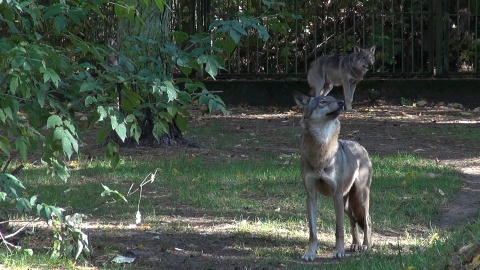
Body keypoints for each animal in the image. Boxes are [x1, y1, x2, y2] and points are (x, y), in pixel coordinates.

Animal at [292, 91, 376, 262]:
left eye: (334, 98)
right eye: (323, 102)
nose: (342, 102)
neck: (321, 153)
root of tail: (360, 146)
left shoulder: (336, 195)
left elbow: (339, 229)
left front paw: (339, 251)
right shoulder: (311, 196)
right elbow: (313, 232)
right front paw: (310, 253)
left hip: (359, 197)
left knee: (367, 220)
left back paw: (366, 245)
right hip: (346, 203)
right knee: (353, 220)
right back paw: (356, 244)